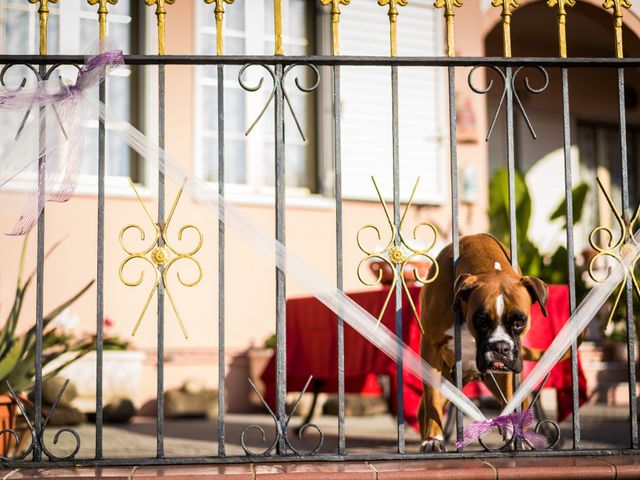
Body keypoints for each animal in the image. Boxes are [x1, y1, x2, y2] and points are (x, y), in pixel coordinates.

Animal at [418, 234, 548, 452]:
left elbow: (510, 397)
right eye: (481, 320)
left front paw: (512, 435)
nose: (501, 348)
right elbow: (432, 398)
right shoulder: (431, 346)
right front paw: (433, 439)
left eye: (519, 322)